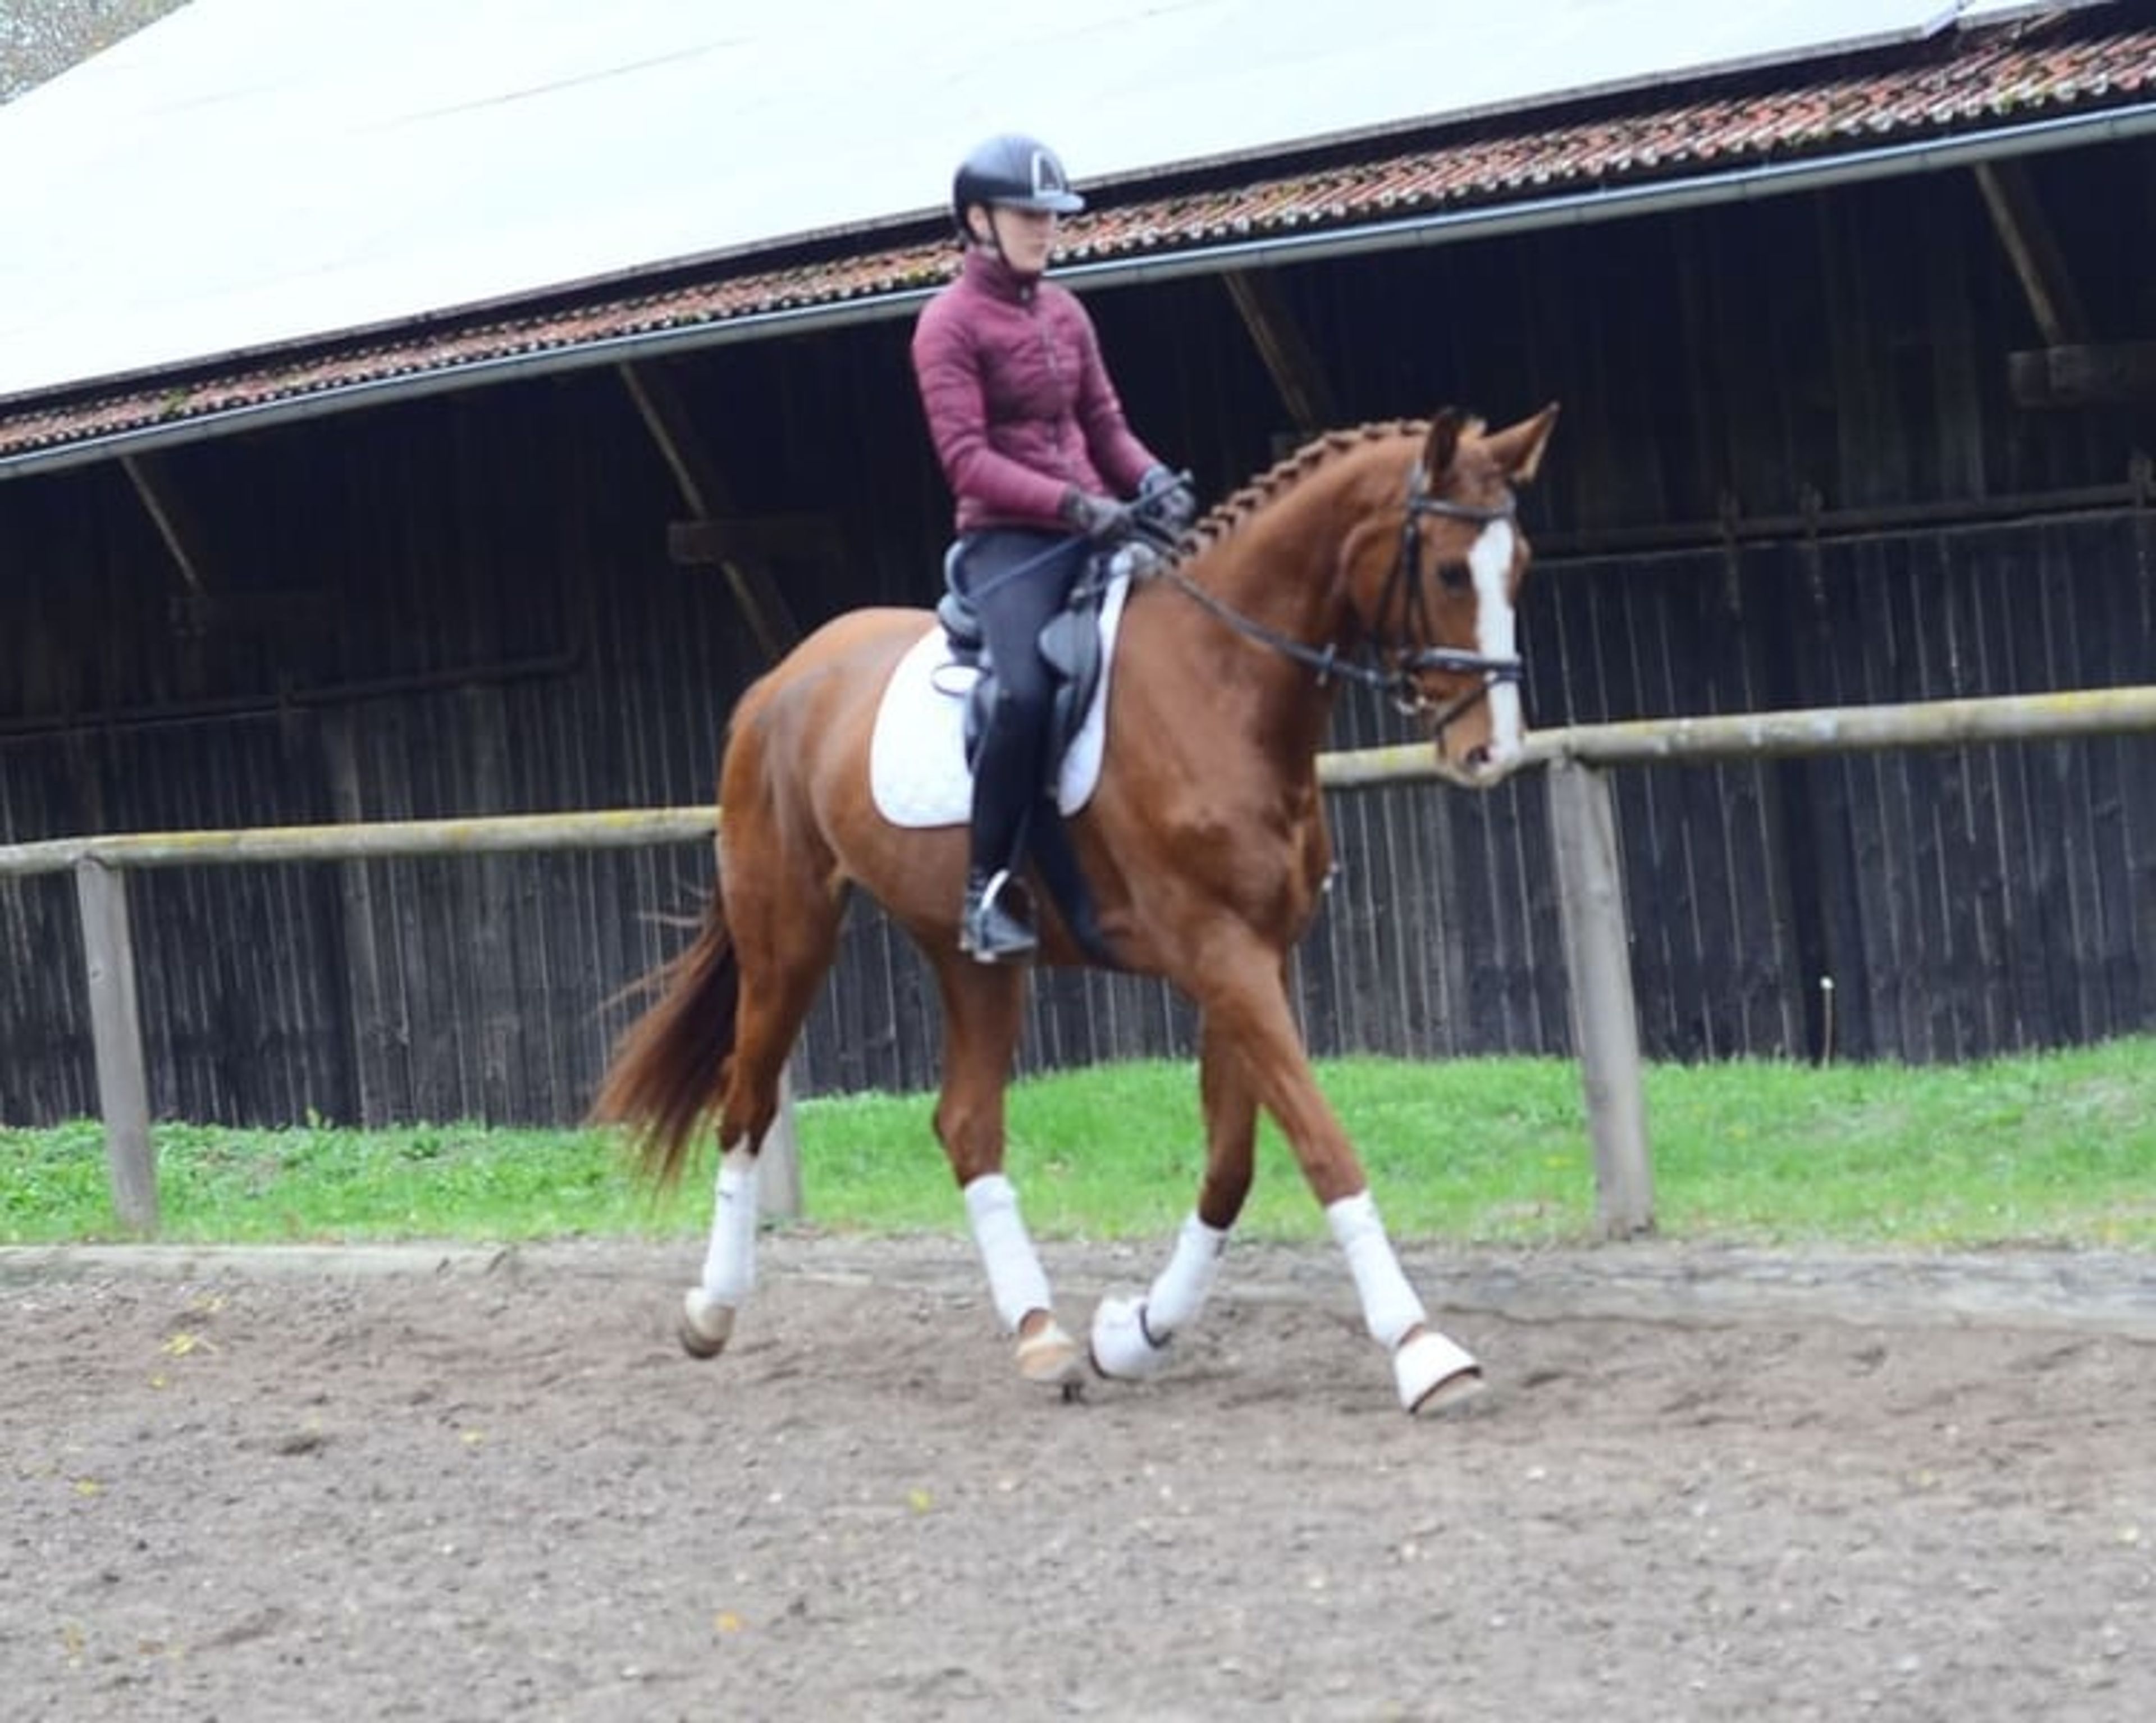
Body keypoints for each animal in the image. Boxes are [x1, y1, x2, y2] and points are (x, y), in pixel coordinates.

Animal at [592, 403, 1559, 1413]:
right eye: (1448, 570)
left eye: (1520, 564)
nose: (1492, 751)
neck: (1220, 682)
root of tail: (777, 683)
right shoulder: (1221, 955)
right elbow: (1322, 1144)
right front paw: (1423, 1349)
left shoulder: (1259, 956)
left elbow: (1232, 1162)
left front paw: (1134, 1334)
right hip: (788, 933)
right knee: (745, 1103)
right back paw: (712, 1309)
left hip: (972, 957)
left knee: (966, 1126)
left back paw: (1040, 1333)